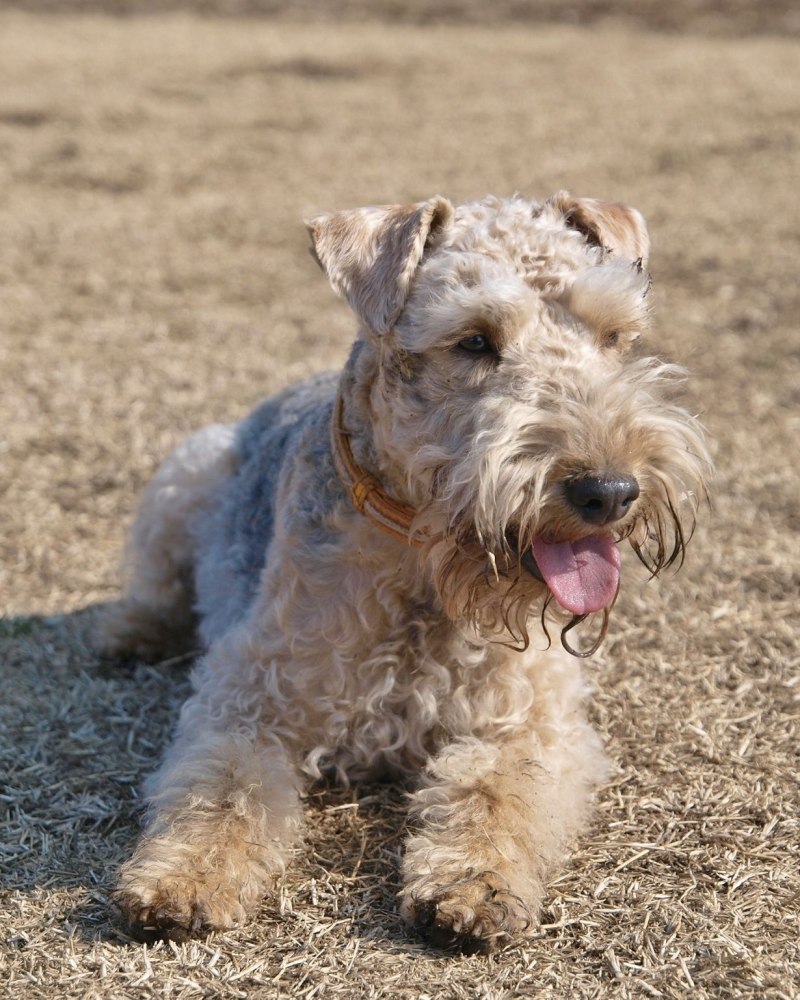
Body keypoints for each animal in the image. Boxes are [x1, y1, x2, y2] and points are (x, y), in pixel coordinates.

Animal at [103, 191, 708, 948]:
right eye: (473, 340)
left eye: (613, 335)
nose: (610, 490)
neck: (424, 572)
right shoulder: (251, 696)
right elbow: (222, 790)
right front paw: (182, 880)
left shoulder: (526, 720)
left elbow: (495, 790)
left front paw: (473, 886)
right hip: (185, 475)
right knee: (156, 586)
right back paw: (130, 635)